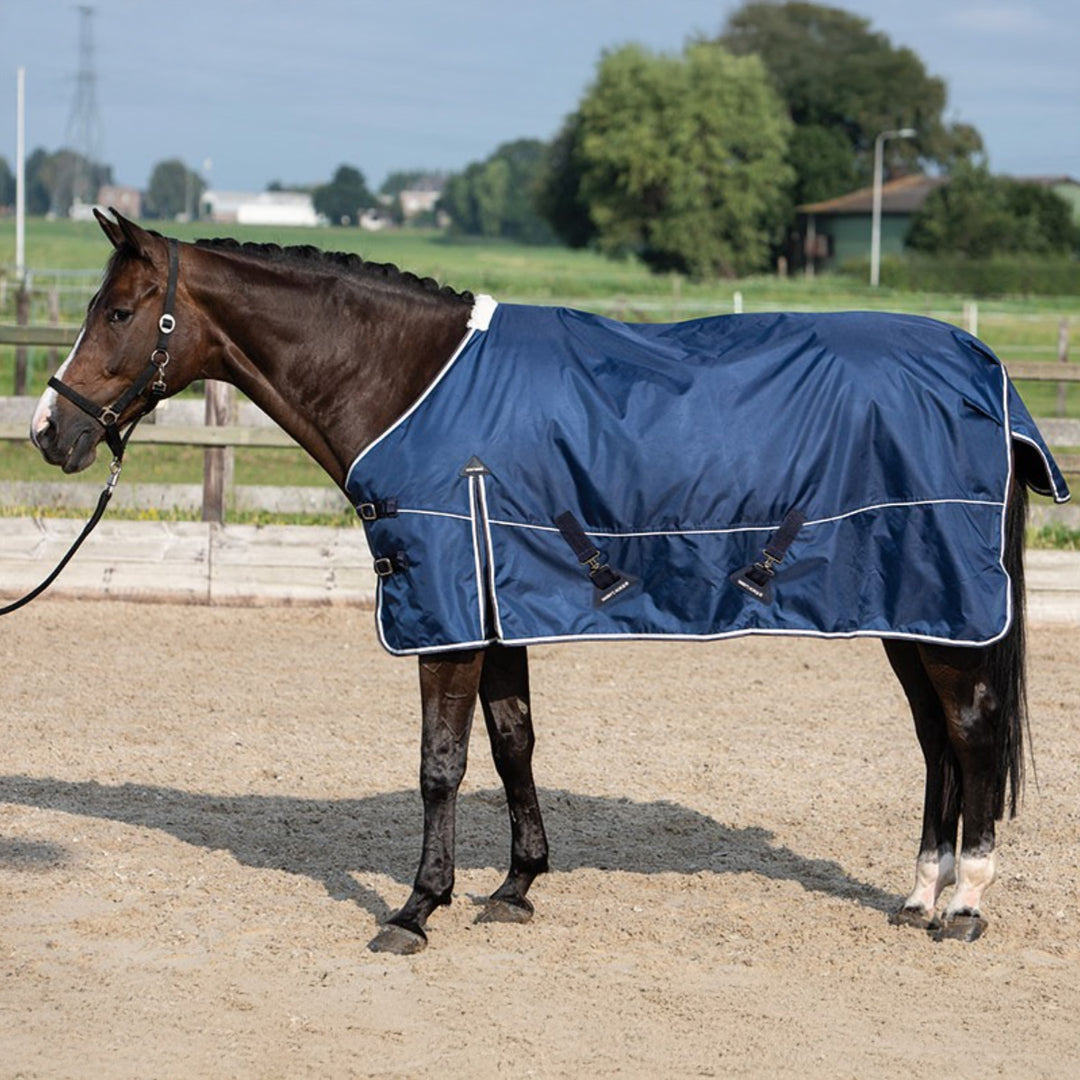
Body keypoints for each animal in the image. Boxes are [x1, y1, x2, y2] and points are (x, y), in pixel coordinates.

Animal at [28, 209, 1068, 954]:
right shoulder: (497, 603)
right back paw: (920, 893)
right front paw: (516, 886)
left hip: (944, 610)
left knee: (971, 732)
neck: (411, 383)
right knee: (937, 741)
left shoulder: (446, 610)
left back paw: (966, 904)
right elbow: (512, 742)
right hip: (916, 608)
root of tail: (986, 373)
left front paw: (416, 909)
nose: (49, 430)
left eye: (117, 313)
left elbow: (441, 764)